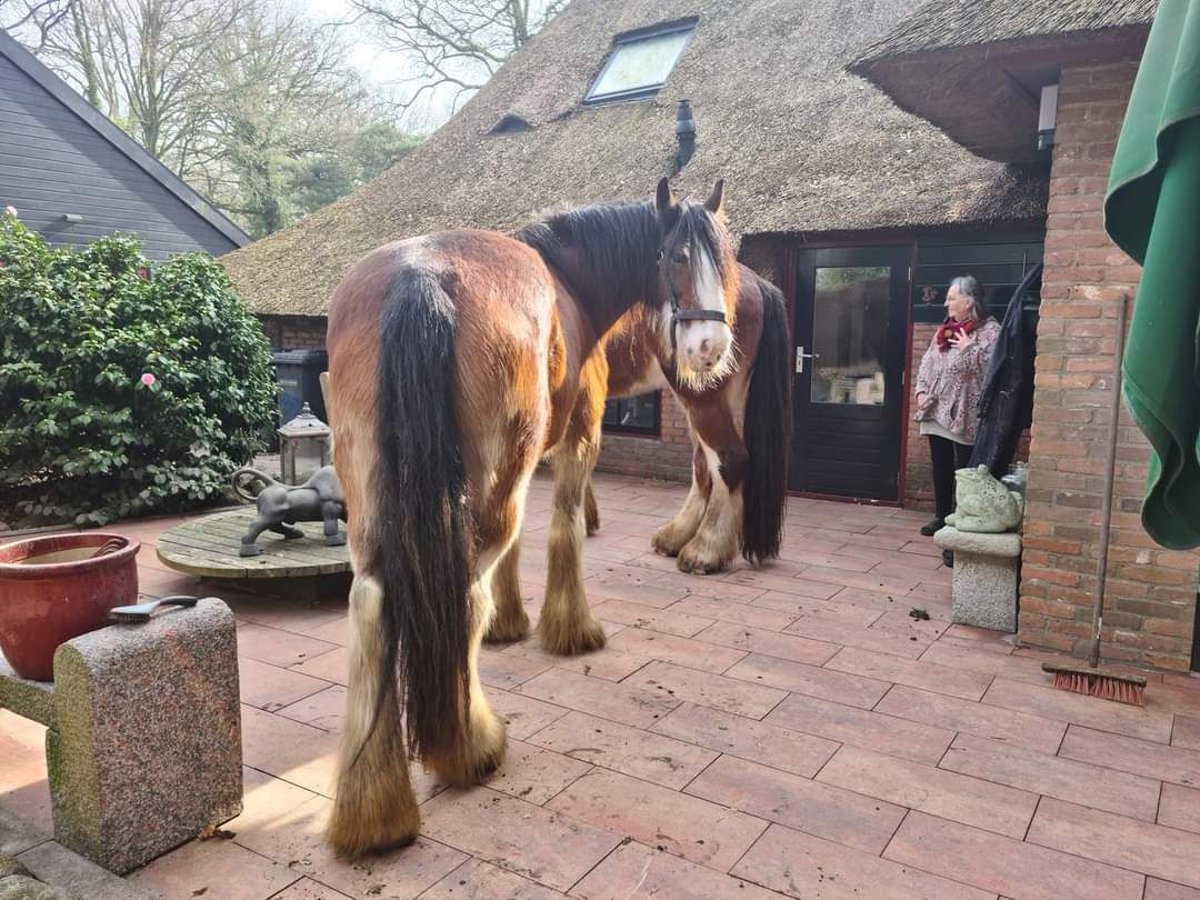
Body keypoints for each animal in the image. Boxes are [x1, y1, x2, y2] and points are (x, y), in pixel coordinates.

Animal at [324, 177, 734, 859]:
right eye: (674, 255)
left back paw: (373, 807)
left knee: (373, 603)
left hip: (373, 484)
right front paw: (569, 627)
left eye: (724, 259)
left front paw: (512, 623)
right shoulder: (579, 435)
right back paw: (469, 746)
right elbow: (563, 527)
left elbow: (517, 548)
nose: (711, 348)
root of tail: (420, 276)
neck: (569, 274)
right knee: (464, 591)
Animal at [583, 267, 792, 573]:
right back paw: (676, 537)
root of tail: (756, 282)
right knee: (705, 464)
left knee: (729, 460)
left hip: (702, 397)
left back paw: (705, 550)